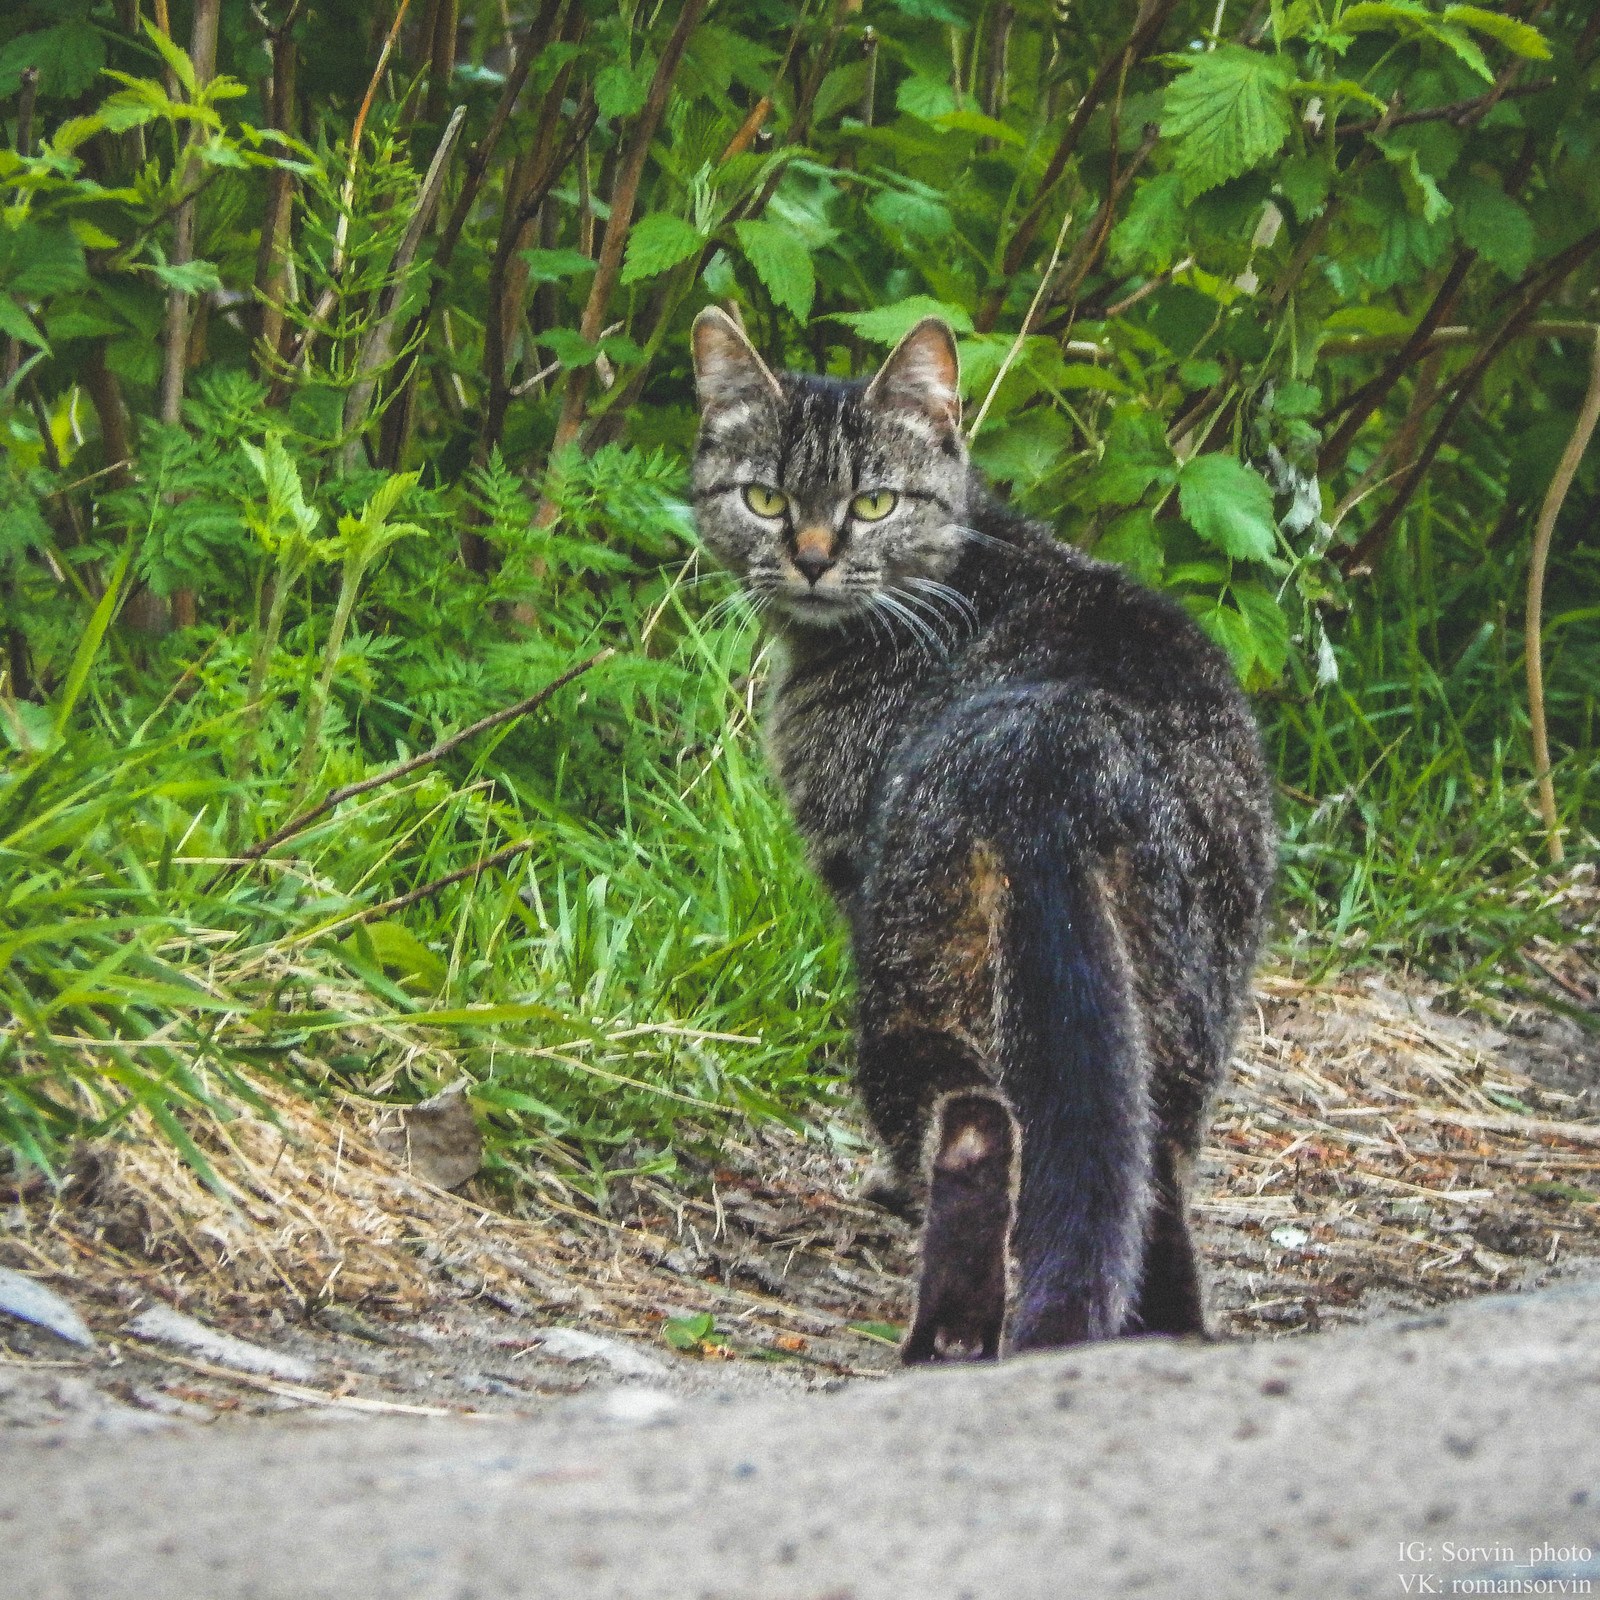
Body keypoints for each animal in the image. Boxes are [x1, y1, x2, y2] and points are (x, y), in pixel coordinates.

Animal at [688, 305, 1273, 1356]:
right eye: (764, 497)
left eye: (873, 503)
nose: (811, 555)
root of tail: (1048, 761)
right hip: (1179, 1009)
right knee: (1148, 1173)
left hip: (905, 975)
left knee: (972, 1127)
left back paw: (945, 1336)